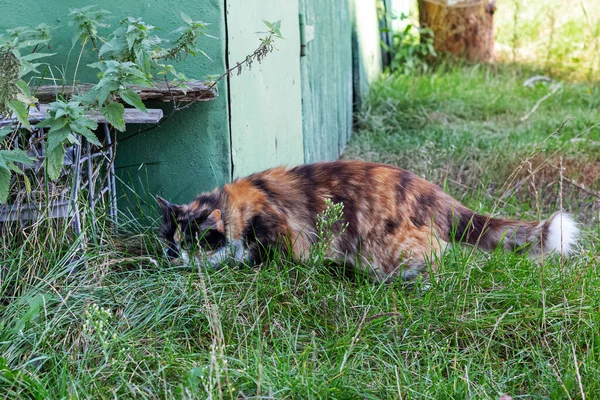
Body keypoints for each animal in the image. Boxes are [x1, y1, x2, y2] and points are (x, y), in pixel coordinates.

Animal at [157, 159, 580, 282]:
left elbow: (265, 256)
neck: (237, 204)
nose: (176, 259)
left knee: (438, 255)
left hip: (394, 246)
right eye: (172, 243)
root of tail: (436, 194)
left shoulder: (283, 234)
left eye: (194, 243)